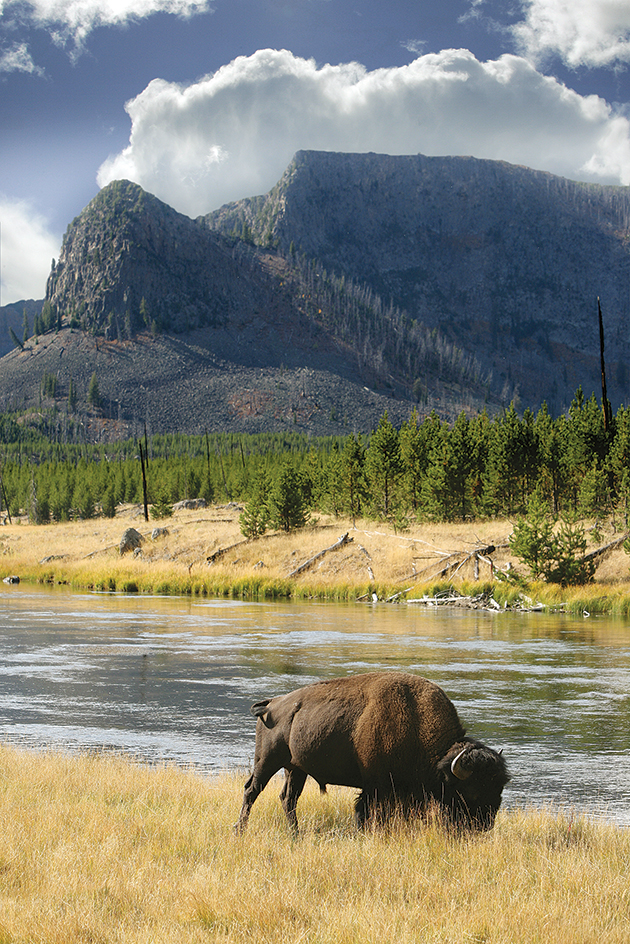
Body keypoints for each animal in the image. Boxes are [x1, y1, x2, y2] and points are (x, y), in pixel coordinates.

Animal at [236, 672, 508, 832]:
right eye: (470, 791)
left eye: (499, 788)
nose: (484, 826)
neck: (416, 722)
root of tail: (271, 704)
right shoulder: (375, 786)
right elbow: (364, 813)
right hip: (267, 760)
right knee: (252, 790)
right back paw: (240, 830)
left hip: (295, 768)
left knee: (288, 799)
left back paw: (296, 834)